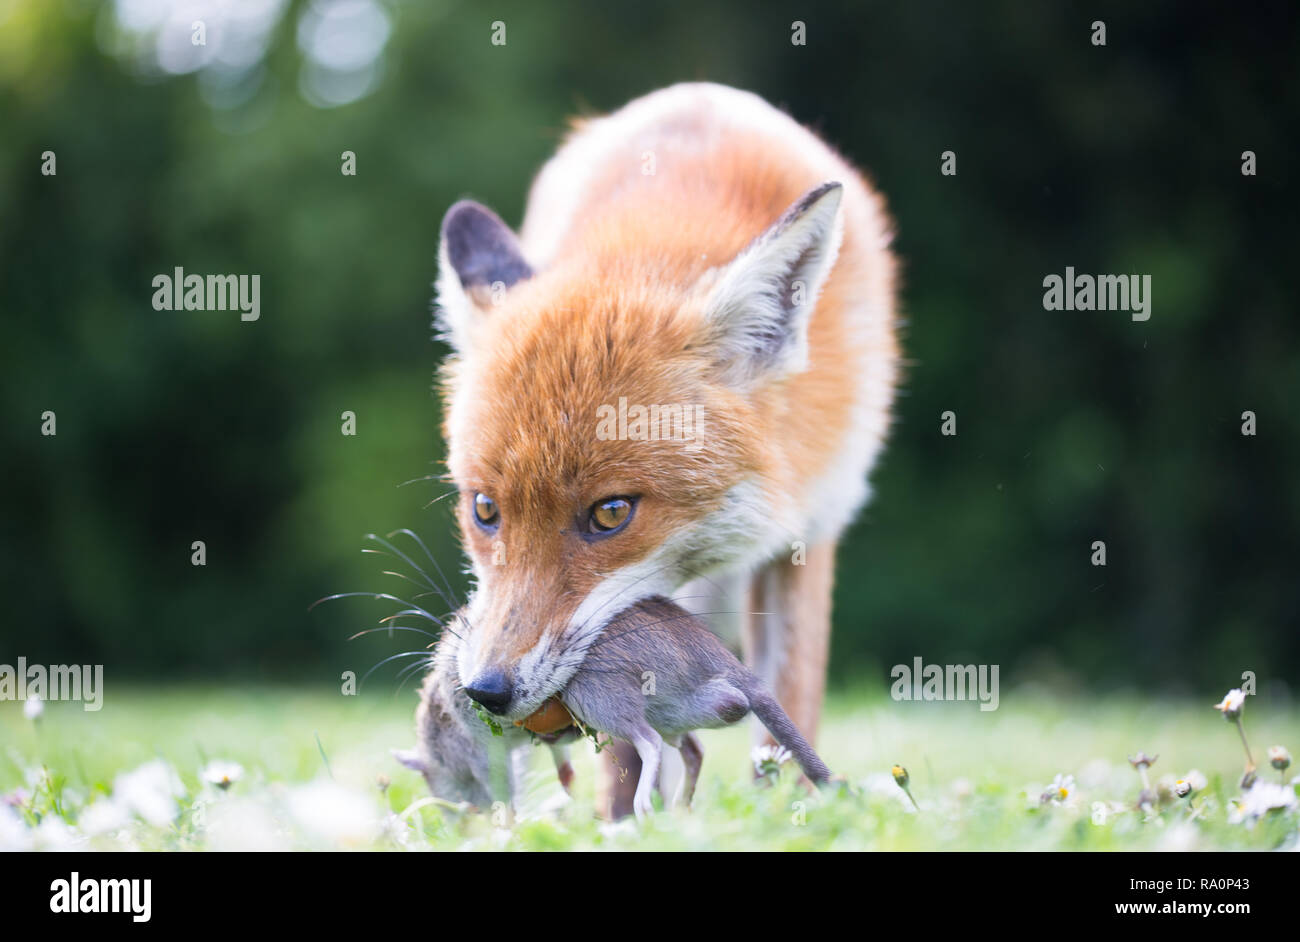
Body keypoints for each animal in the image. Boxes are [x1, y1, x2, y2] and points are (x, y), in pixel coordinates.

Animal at [431, 82, 899, 800]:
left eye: (610, 514)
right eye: (485, 510)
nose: (487, 690)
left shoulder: (812, 527)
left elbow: (785, 706)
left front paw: (794, 809)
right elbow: (626, 752)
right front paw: (624, 817)